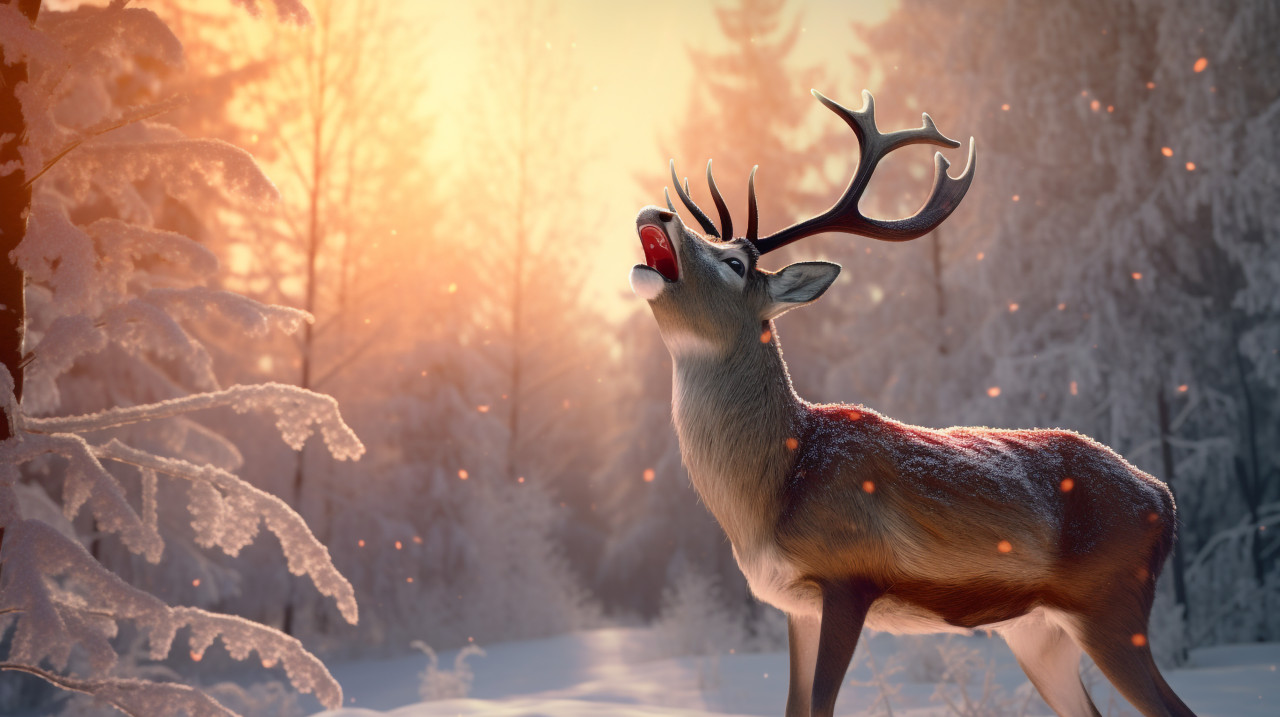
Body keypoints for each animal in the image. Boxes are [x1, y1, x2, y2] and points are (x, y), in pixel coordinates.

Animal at [629, 89, 1195, 717]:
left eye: (736, 263)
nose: (658, 214)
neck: (777, 485)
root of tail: (1163, 497)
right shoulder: (796, 606)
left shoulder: (847, 577)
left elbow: (821, 704)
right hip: (1037, 630)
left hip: (1111, 603)